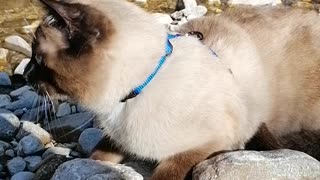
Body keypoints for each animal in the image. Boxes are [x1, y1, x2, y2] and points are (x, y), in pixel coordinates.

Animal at [23, 0, 320, 179]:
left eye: (37, 59)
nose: (25, 76)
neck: (131, 96)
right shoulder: (118, 139)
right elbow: (97, 156)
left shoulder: (205, 145)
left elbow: (166, 172)